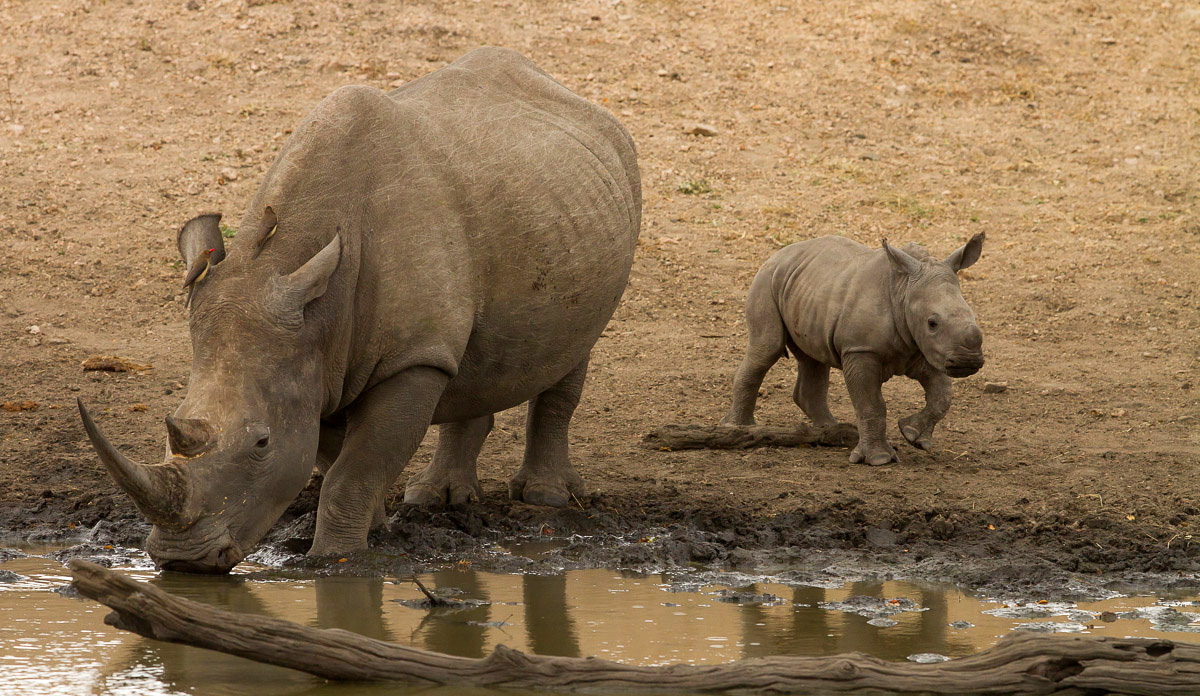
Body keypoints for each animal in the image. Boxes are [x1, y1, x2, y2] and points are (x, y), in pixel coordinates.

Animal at [77, 47, 641, 573]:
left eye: (261, 443)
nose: (183, 560)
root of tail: (574, 97)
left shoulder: (409, 359)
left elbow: (355, 469)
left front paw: (336, 559)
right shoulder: (315, 361)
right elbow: (334, 460)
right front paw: (376, 529)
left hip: (613, 186)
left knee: (574, 349)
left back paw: (545, 498)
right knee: (474, 358)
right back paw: (436, 498)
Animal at [721, 234, 985, 465]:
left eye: (973, 315)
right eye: (932, 323)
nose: (969, 361)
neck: (903, 291)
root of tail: (779, 253)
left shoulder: (928, 350)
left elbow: (942, 395)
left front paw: (913, 435)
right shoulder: (860, 350)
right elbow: (871, 403)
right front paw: (879, 459)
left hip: (808, 289)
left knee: (813, 359)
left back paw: (831, 432)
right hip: (766, 280)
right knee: (767, 348)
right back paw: (739, 428)